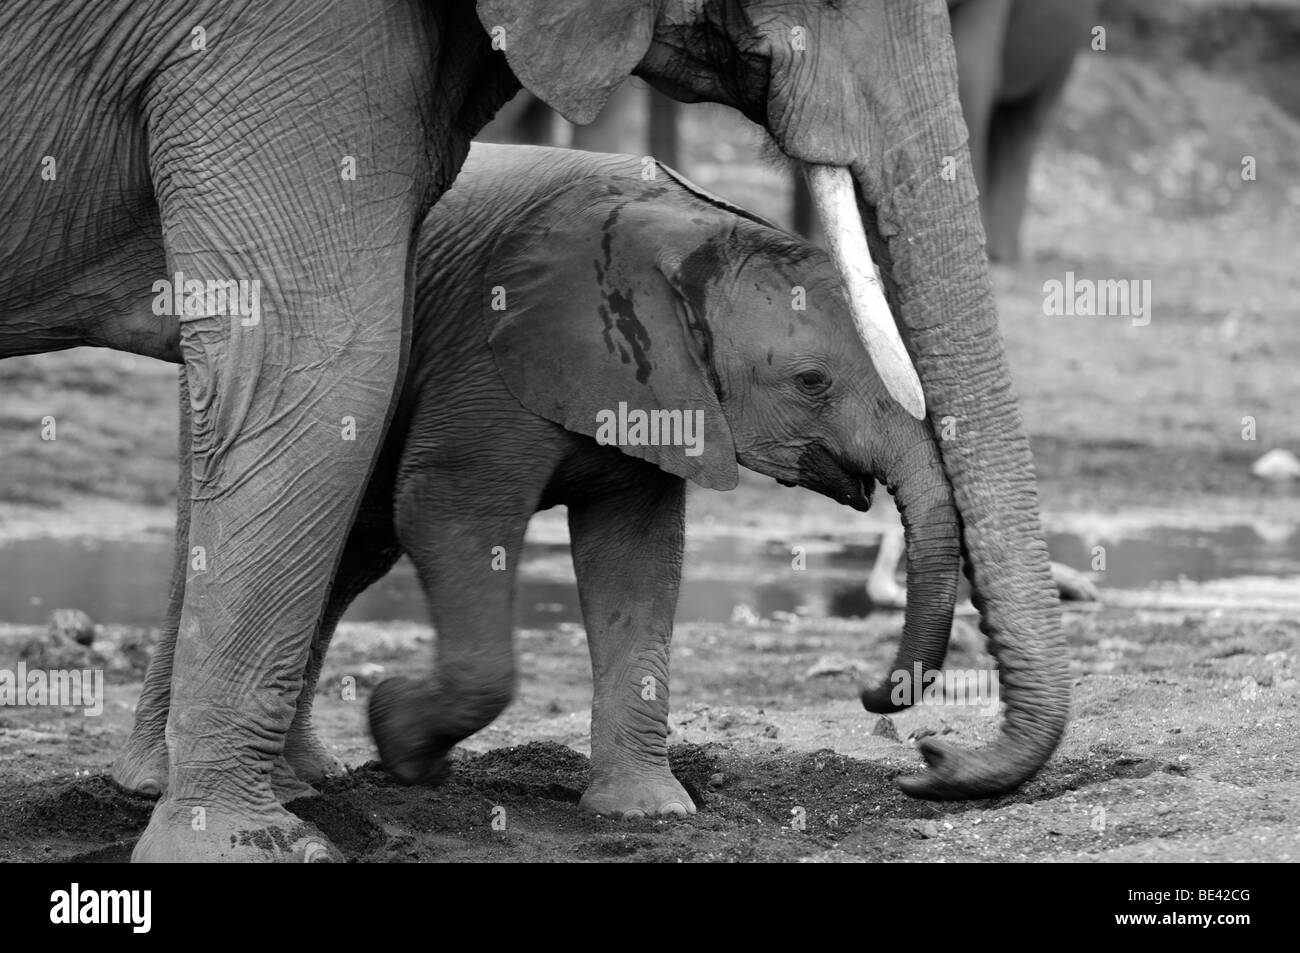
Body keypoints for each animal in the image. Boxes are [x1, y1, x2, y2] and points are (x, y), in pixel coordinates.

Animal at [116, 141, 961, 816]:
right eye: (813, 382)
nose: (875, 695)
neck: (687, 227)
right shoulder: (487, 354)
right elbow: (446, 513)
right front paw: (400, 737)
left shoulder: (657, 388)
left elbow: (637, 557)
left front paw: (648, 813)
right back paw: (169, 785)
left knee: (347, 549)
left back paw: (307, 777)